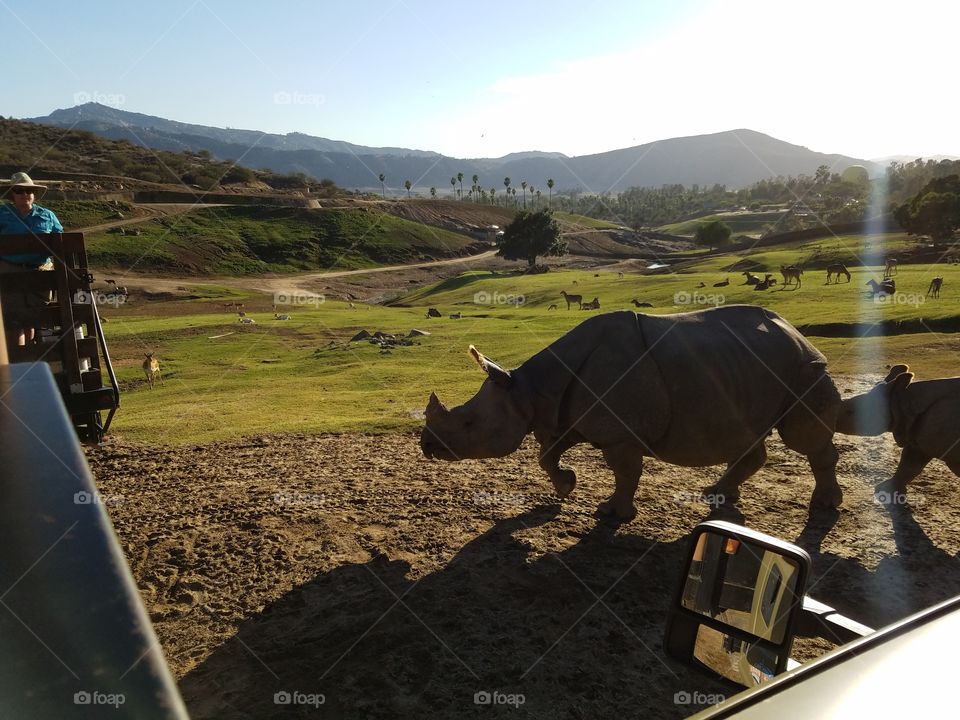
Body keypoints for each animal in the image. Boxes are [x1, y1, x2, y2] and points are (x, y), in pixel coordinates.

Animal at [420, 306, 843, 520]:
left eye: (468, 423)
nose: (426, 446)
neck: (529, 388)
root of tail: (793, 328)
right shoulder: (562, 416)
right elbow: (546, 454)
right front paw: (566, 486)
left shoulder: (618, 432)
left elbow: (625, 472)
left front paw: (611, 513)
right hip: (748, 369)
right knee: (747, 435)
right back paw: (717, 495)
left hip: (804, 366)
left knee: (802, 437)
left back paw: (825, 505)